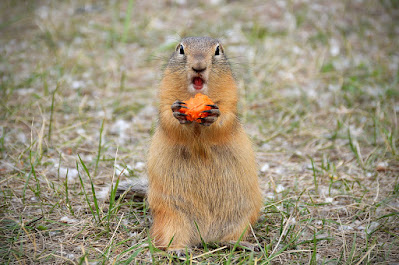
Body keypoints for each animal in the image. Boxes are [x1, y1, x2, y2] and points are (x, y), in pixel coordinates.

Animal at [147, 35, 262, 250]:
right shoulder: (165, 96)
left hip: (243, 217)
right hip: (171, 216)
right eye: (181, 49)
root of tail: (205, 237)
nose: (199, 66)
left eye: (217, 51)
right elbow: (168, 117)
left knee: (229, 238)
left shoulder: (230, 99)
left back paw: (244, 245)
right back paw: (178, 250)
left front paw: (213, 115)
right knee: (170, 239)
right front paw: (177, 112)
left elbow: (226, 118)